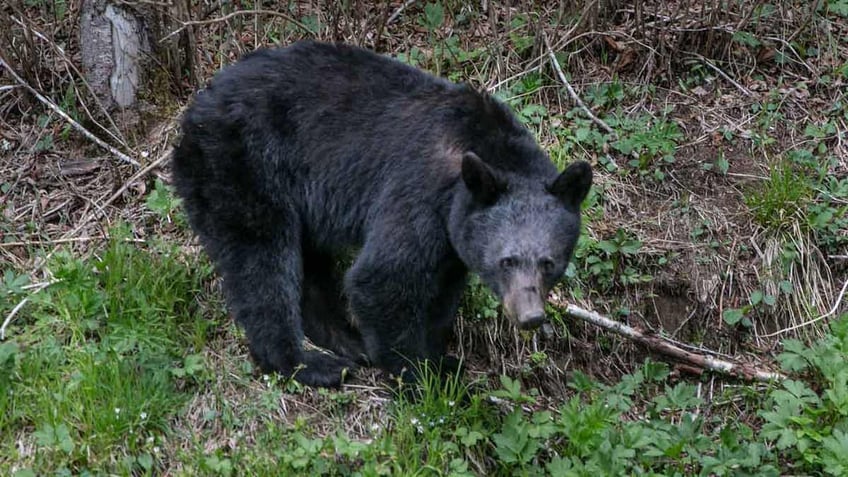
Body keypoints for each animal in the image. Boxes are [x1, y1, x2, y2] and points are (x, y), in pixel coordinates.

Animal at [174, 41, 588, 386]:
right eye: (507, 260)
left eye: (549, 262)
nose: (530, 316)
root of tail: (196, 106)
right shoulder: (419, 193)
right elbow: (382, 279)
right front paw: (420, 376)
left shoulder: (454, 236)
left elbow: (441, 293)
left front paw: (440, 358)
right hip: (242, 166)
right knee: (261, 261)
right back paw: (307, 362)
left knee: (310, 265)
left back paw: (346, 340)